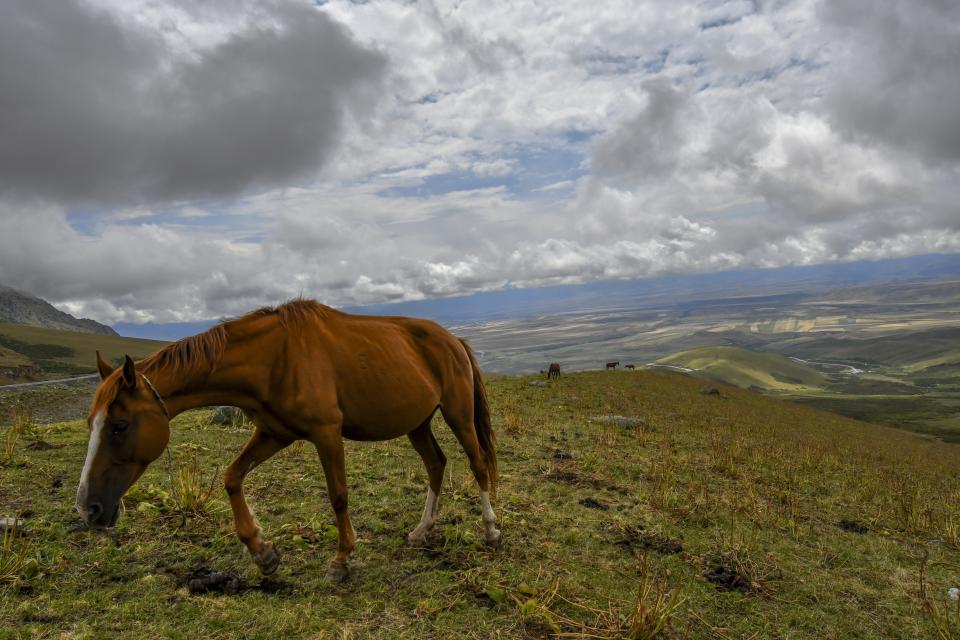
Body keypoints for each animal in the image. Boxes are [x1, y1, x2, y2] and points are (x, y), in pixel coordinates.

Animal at [75, 300, 502, 580]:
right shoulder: (274, 433)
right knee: (435, 464)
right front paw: (262, 552)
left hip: (457, 412)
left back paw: (491, 531)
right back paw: (422, 530)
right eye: (91, 423)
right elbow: (232, 477)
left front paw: (341, 560)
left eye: (119, 426)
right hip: (417, 422)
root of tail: (454, 340)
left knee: (477, 463)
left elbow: (338, 495)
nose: (88, 509)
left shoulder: (326, 432)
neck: (273, 359)